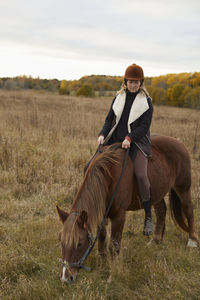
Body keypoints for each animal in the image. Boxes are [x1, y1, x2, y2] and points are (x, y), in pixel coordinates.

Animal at [57, 135, 198, 282]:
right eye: (61, 241)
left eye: (79, 243)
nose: (66, 278)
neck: (108, 177)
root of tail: (180, 143)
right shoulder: (102, 213)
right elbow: (102, 236)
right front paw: (102, 262)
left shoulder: (119, 216)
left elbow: (114, 246)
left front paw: (112, 274)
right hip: (156, 192)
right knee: (161, 211)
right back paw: (155, 240)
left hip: (183, 187)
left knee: (189, 210)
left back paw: (192, 240)